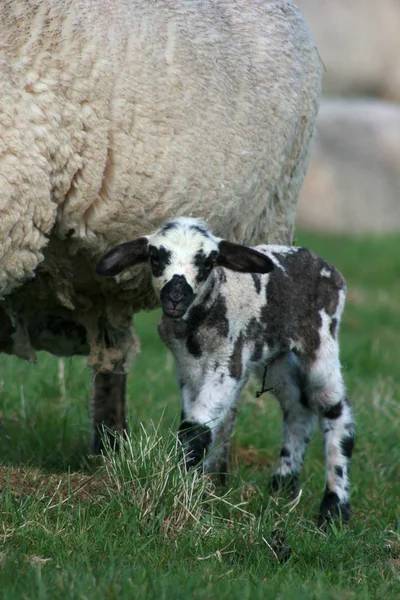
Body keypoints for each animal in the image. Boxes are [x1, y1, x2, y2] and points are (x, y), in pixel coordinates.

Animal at [97, 218, 356, 524]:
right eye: (155, 257)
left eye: (209, 262)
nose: (175, 297)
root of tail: (322, 262)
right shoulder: (186, 370)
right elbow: (194, 426)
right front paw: (193, 486)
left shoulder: (228, 365)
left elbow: (195, 430)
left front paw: (180, 491)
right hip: (274, 355)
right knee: (299, 408)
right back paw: (282, 488)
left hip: (321, 340)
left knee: (334, 409)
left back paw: (334, 507)